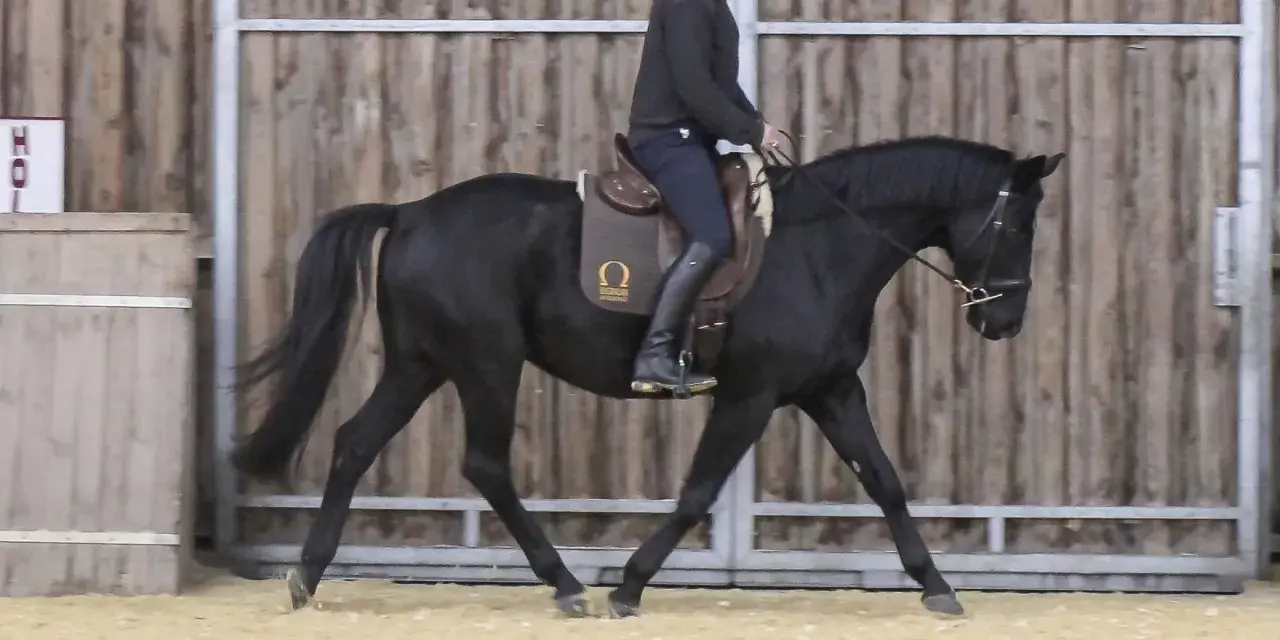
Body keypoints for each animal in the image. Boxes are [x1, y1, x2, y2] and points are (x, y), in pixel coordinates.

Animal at [229, 134, 1065, 618]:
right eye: (1019, 223)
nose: (1004, 321)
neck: (820, 246)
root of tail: (408, 212)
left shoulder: (829, 391)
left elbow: (884, 479)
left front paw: (936, 586)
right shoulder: (752, 395)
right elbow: (698, 491)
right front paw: (629, 586)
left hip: (421, 363)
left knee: (353, 442)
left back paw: (307, 577)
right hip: (486, 363)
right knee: (485, 464)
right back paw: (567, 585)